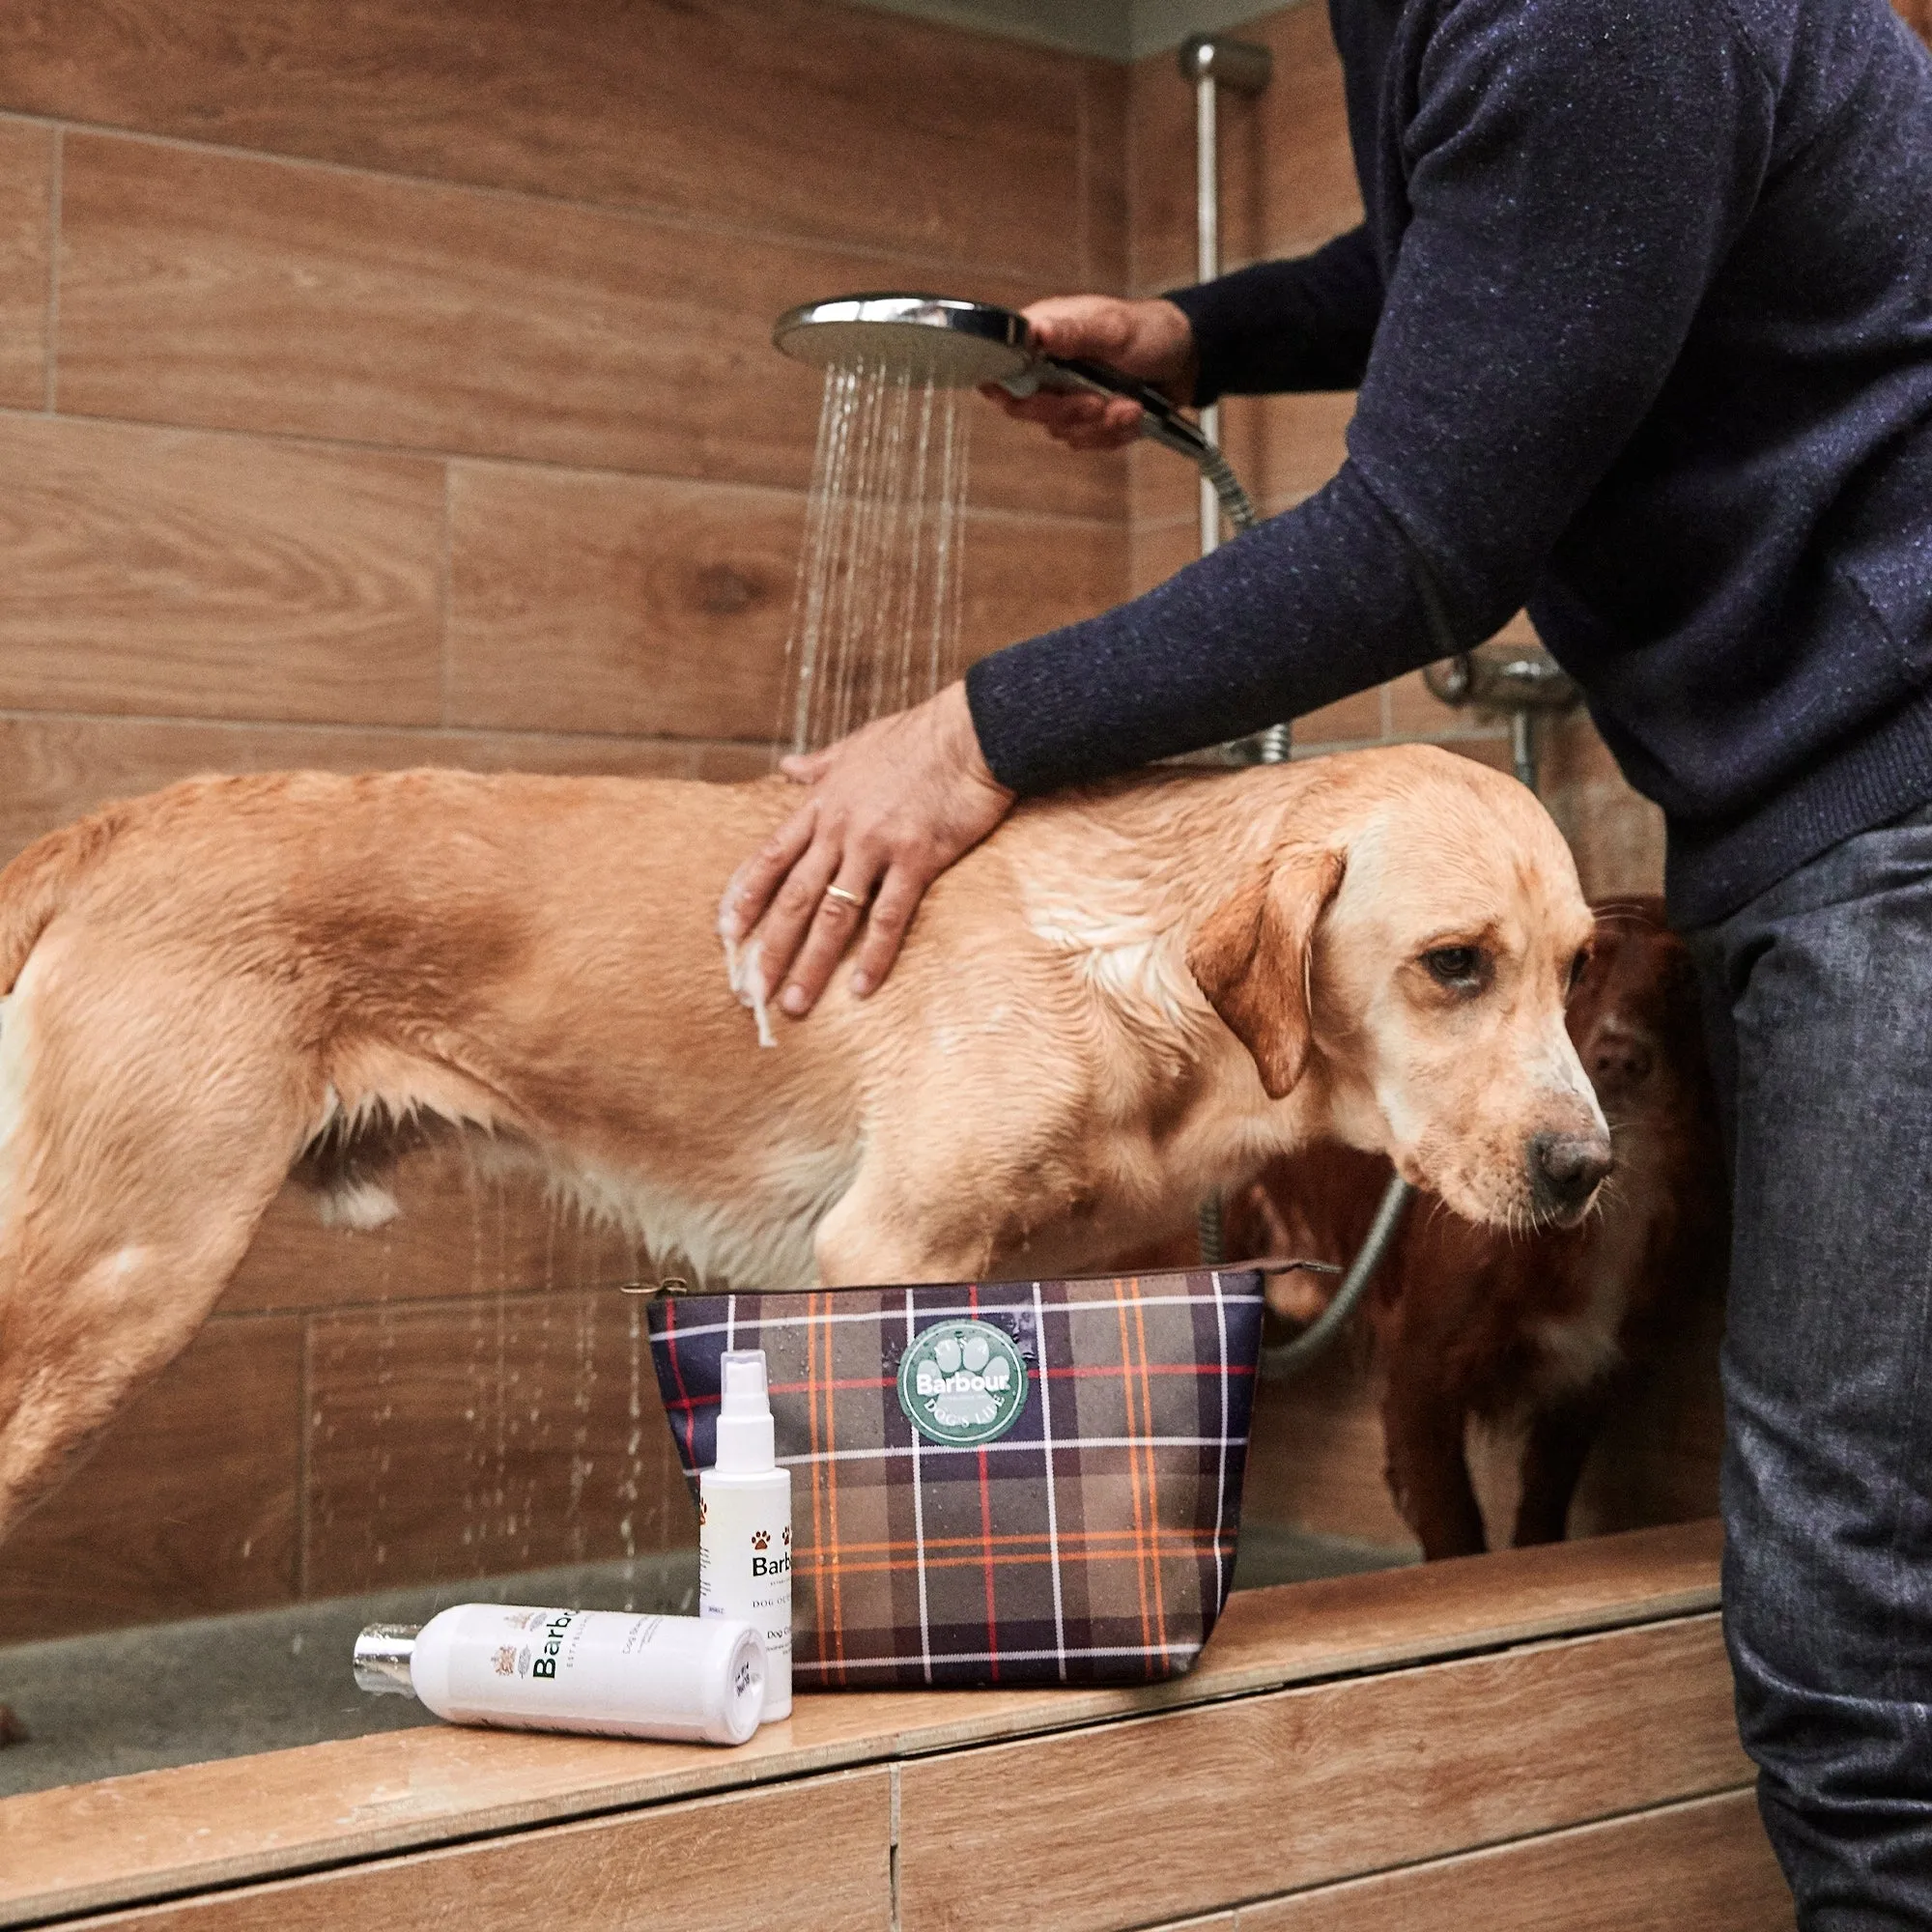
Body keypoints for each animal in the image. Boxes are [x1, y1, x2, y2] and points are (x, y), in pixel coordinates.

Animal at [0, 750, 1607, 1538]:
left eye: (1581, 966)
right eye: (1455, 964)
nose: (1590, 1170)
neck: (1126, 971)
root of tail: (105, 833)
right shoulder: (891, 1249)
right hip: (119, 1280)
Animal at [1244, 900, 1731, 1553]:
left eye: (1686, 979)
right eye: (1583, 969)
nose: (1621, 1059)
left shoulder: (1582, 1379)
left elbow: (1543, 1512)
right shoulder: (1420, 1377)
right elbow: (1455, 1528)